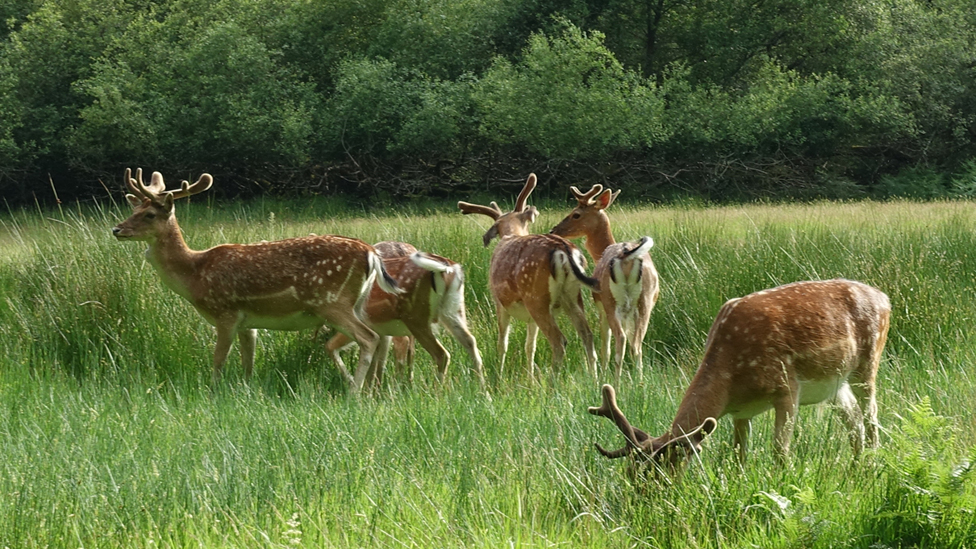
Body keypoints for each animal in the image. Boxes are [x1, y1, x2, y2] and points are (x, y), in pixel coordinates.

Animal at [112, 167, 402, 390]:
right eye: (133, 210)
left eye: (149, 215)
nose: (117, 229)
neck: (195, 274)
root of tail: (370, 252)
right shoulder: (247, 322)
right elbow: (248, 363)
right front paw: (248, 391)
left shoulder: (226, 311)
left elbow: (218, 360)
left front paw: (213, 392)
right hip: (356, 303)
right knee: (380, 338)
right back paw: (370, 389)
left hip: (331, 301)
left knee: (369, 338)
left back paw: (354, 391)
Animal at [324, 243, 488, 390]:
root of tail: (448, 268)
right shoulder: (381, 330)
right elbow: (377, 362)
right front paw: (372, 393)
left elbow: (330, 346)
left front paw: (353, 384)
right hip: (453, 310)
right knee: (471, 342)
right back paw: (484, 393)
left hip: (416, 317)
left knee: (442, 354)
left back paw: (436, 394)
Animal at [460, 173, 604, 378]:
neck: (511, 232)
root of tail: (563, 250)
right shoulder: (529, 318)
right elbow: (530, 346)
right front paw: (530, 379)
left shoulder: (499, 302)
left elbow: (502, 343)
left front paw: (499, 375)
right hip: (572, 296)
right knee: (587, 334)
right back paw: (594, 378)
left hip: (536, 297)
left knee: (559, 341)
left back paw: (553, 381)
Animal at [548, 184, 664, 382]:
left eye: (576, 214)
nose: (553, 230)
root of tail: (626, 257)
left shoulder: (601, 307)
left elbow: (605, 347)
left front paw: (602, 376)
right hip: (645, 301)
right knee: (637, 344)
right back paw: (639, 381)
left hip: (610, 301)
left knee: (621, 339)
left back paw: (616, 382)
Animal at [588, 278, 892, 470]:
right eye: (629, 471)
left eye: (656, 471)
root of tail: (885, 298)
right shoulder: (740, 412)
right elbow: (738, 457)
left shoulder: (787, 388)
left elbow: (780, 451)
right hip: (835, 386)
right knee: (855, 423)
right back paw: (856, 467)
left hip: (868, 362)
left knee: (872, 418)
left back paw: (871, 466)